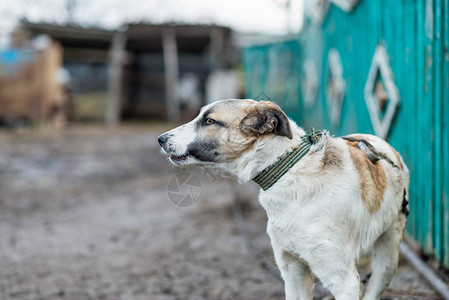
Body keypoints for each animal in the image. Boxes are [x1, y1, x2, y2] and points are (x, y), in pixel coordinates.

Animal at [158, 100, 410, 300]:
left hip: (388, 257)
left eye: (209, 121)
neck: (288, 171)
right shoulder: (292, 269)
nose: (160, 139)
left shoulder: (343, 280)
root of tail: (378, 142)